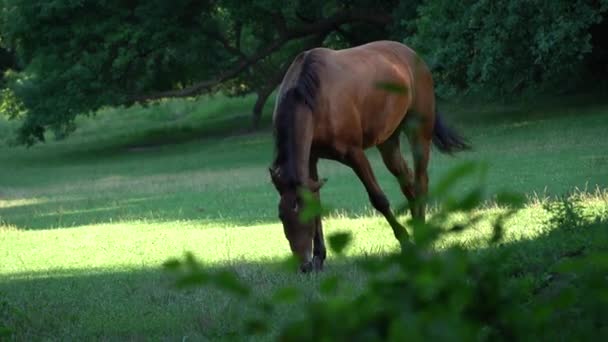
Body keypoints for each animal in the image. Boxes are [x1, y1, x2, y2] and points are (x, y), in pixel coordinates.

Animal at [268, 40, 470, 272]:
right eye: (281, 216)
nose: (304, 265)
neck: (313, 97)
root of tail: (411, 55)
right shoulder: (311, 159)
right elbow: (316, 203)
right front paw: (320, 257)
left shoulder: (354, 154)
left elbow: (379, 199)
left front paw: (405, 240)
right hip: (388, 143)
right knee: (407, 181)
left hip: (419, 132)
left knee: (420, 181)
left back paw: (421, 238)